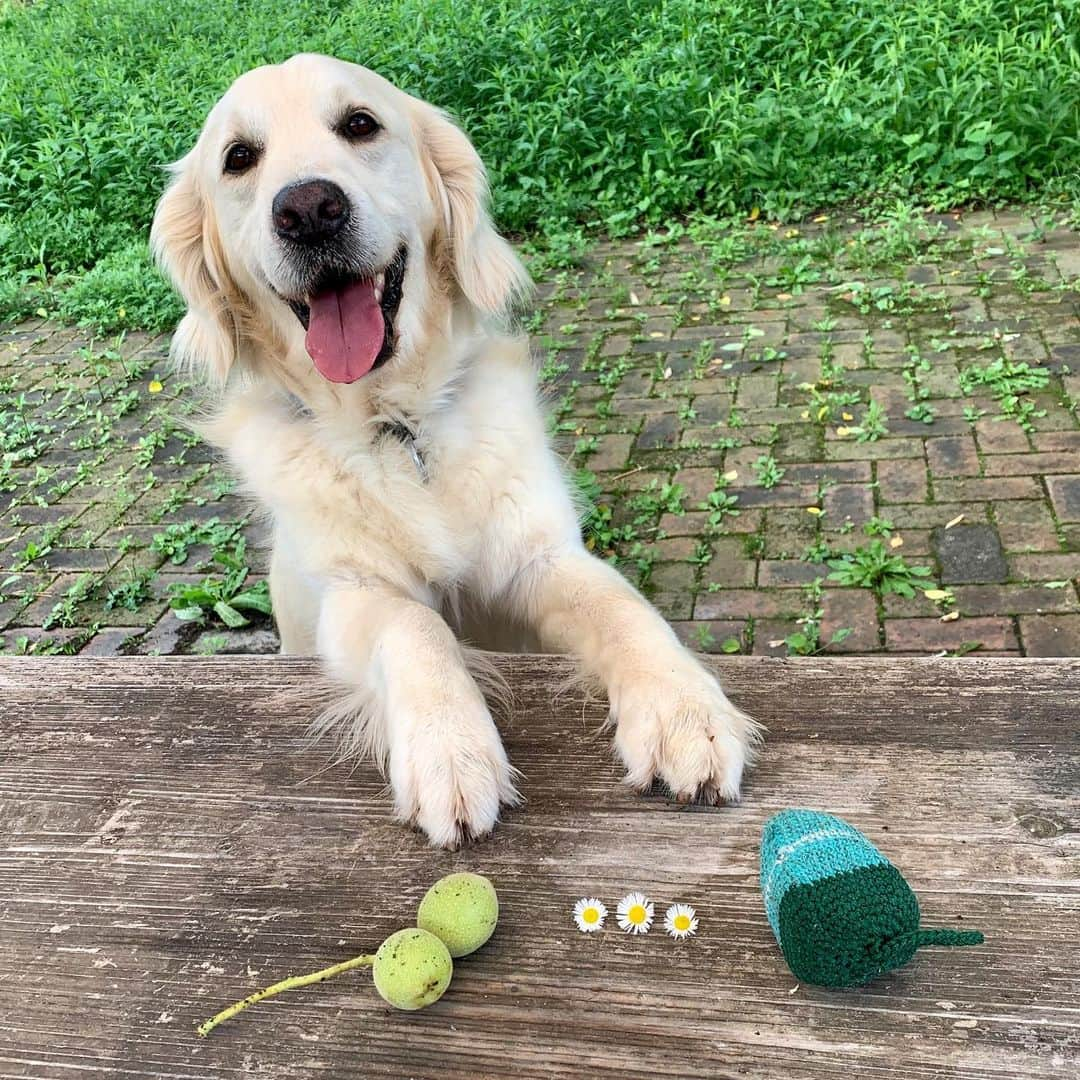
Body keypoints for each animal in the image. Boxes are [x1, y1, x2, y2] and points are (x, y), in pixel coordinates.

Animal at [150, 54, 760, 846]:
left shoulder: (539, 557)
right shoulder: (351, 592)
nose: (309, 209)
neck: (398, 427)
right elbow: (416, 624)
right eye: (238, 158)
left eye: (359, 124)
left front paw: (684, 710)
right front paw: (449, 749)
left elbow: (622, 607)